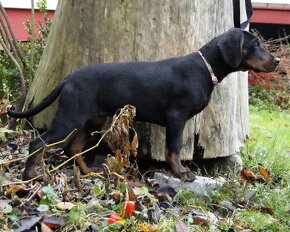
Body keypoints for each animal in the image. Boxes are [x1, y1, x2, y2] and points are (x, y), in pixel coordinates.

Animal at [8, 29, 278, 180]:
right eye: (254, 45)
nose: (276, 61)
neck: (205, 68)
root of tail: (69, 78)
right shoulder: (176, 117)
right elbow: (173, 148)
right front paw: (181, 172)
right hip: (70, 117)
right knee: (39, 143)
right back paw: (30, 175)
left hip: (92, 119)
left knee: (73, 148)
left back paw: (88, 172)